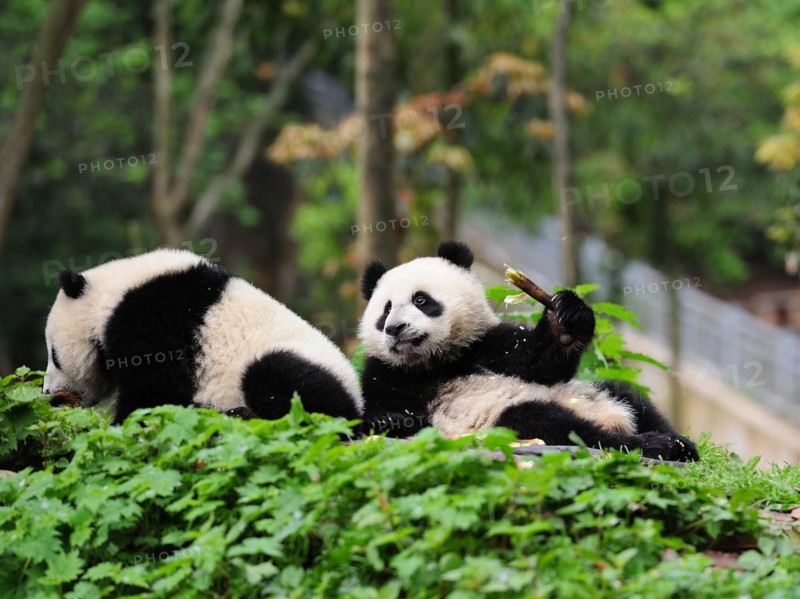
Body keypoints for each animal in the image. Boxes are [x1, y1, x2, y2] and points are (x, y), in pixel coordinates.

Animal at [43, 249, 363, 424]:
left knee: (279, 381)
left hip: (287, 362)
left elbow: (153, 392)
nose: (48, 394)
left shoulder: (154, 321)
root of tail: (357, 400)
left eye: (54, 356)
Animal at [358, 240, 698, 462]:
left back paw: (679, 444)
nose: (395, 329)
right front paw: (393, 420)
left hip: (594, 391)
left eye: (420, 300)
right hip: (505, 419)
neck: (436, 361)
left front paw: (567, 319)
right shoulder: (386, 373)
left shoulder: (485, 345)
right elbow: (382, 411)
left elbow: (540, 363)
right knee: (557, 425)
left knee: (631, 398)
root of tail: (612, 418)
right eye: (386, 310)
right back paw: (652, 444)